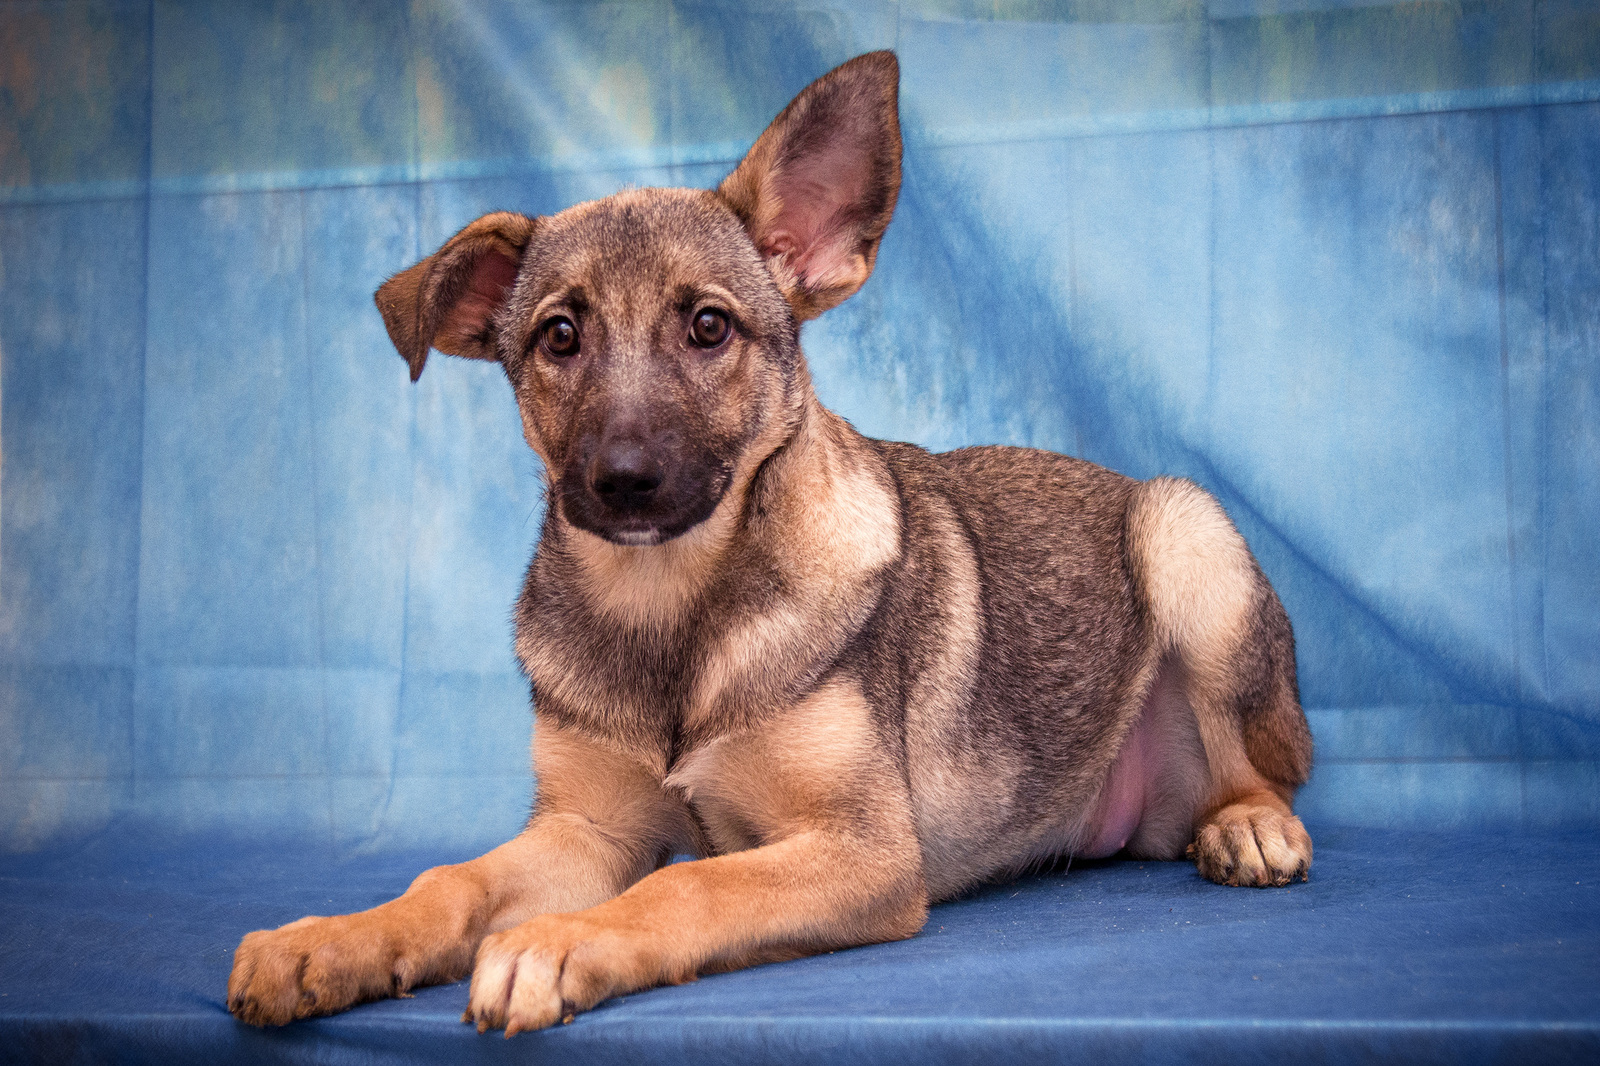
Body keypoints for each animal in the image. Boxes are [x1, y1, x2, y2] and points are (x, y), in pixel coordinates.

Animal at [222, 47, 1312, 1030]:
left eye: (708, 328)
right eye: (559, 337)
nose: (621, 480)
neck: (671, 607)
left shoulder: (863, 850)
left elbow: (681, 886)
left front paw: (554, 944)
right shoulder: (586, 830)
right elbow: (450, 881)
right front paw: (330, 941)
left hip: (1186, 534)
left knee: (1264, 769)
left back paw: (1250, 827)